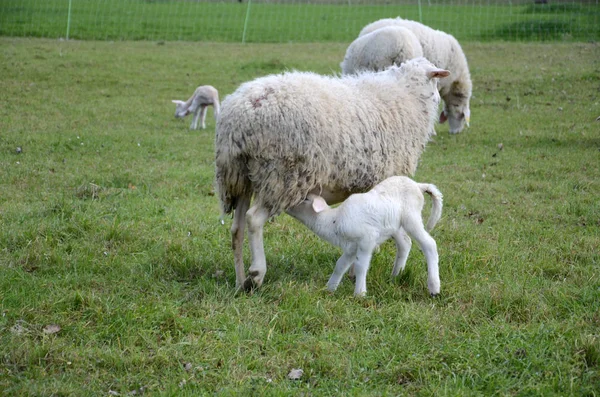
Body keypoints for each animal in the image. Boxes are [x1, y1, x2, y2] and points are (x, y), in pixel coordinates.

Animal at [288, 175, 442, 296]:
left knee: (430, 244)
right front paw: (330, 288)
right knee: (405, 243)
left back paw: (434, 287)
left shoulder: (367, 239)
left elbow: (361, 266)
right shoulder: (351, 247)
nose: (288, 206)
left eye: (306, 199)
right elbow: (340, 265)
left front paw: (360, 294)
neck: (333, 221)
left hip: (411, 217)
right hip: (395, 224)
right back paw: (395, 275)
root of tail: (418, 185)